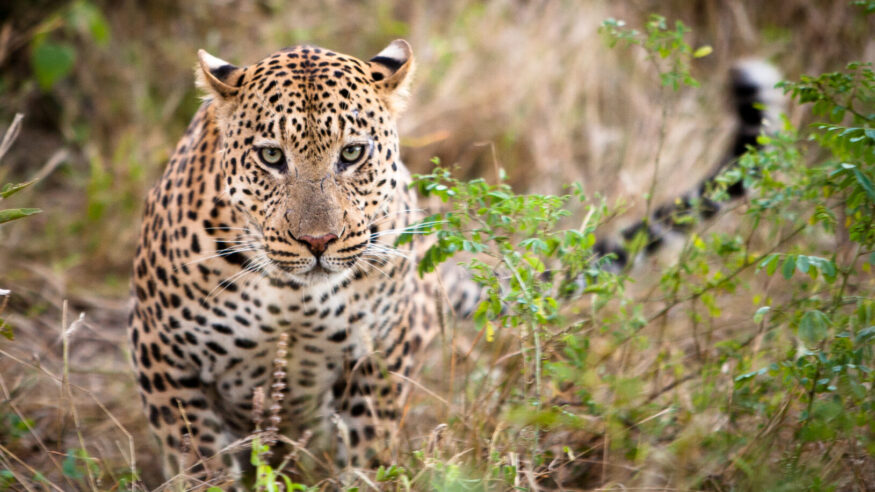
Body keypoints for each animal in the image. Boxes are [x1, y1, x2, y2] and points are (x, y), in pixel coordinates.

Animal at [128, 39, 444, 485]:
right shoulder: (161, 353)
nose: (318, 241)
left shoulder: (385, 344)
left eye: (351, 152)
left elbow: (368, 443)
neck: (293, 295)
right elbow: (198, 457)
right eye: (272, 156)